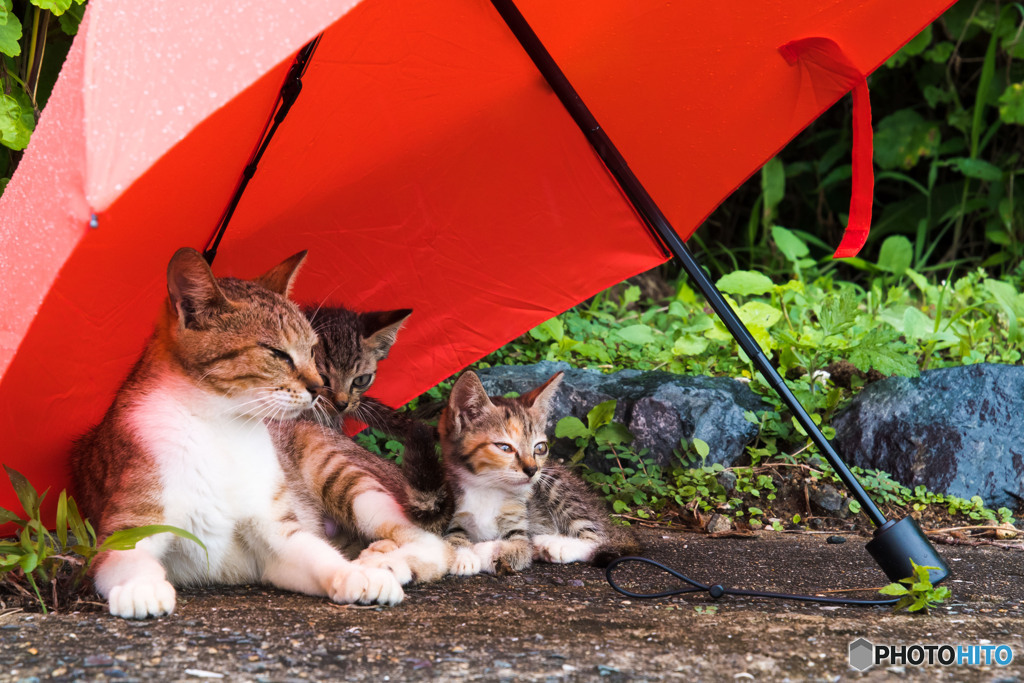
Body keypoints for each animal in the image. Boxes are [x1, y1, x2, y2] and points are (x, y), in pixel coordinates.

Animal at [70, 246, 405, 618]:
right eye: (277, 353)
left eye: (312, 350)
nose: (321, 389)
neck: (221, 427)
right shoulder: (129, 526)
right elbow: (129, 558)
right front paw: (140, 587)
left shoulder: (278, 531)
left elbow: (318, 553)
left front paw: (355, 574)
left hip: (342, 476)